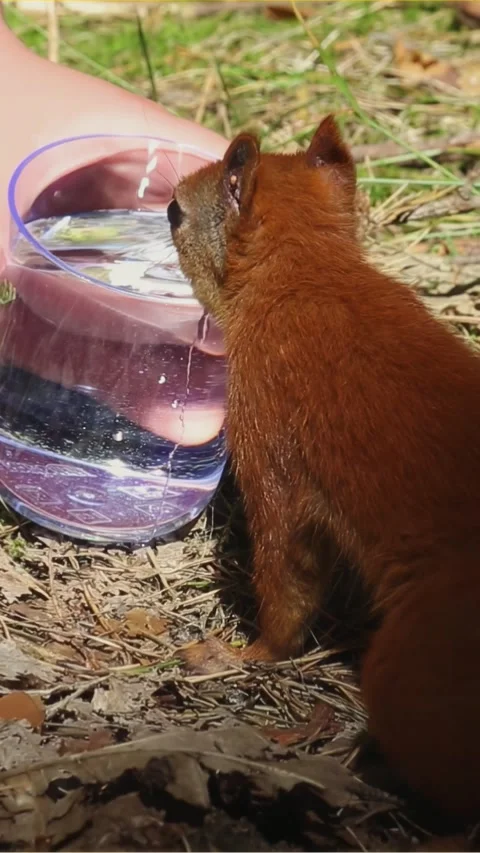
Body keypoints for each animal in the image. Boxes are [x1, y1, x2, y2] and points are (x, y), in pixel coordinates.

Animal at [168, 115, 480, 820]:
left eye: (177, 211)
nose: (162, 205)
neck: (311, 272)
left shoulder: (268, 440)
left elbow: (286, 576)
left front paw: (243, 653)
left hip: (411, 657)